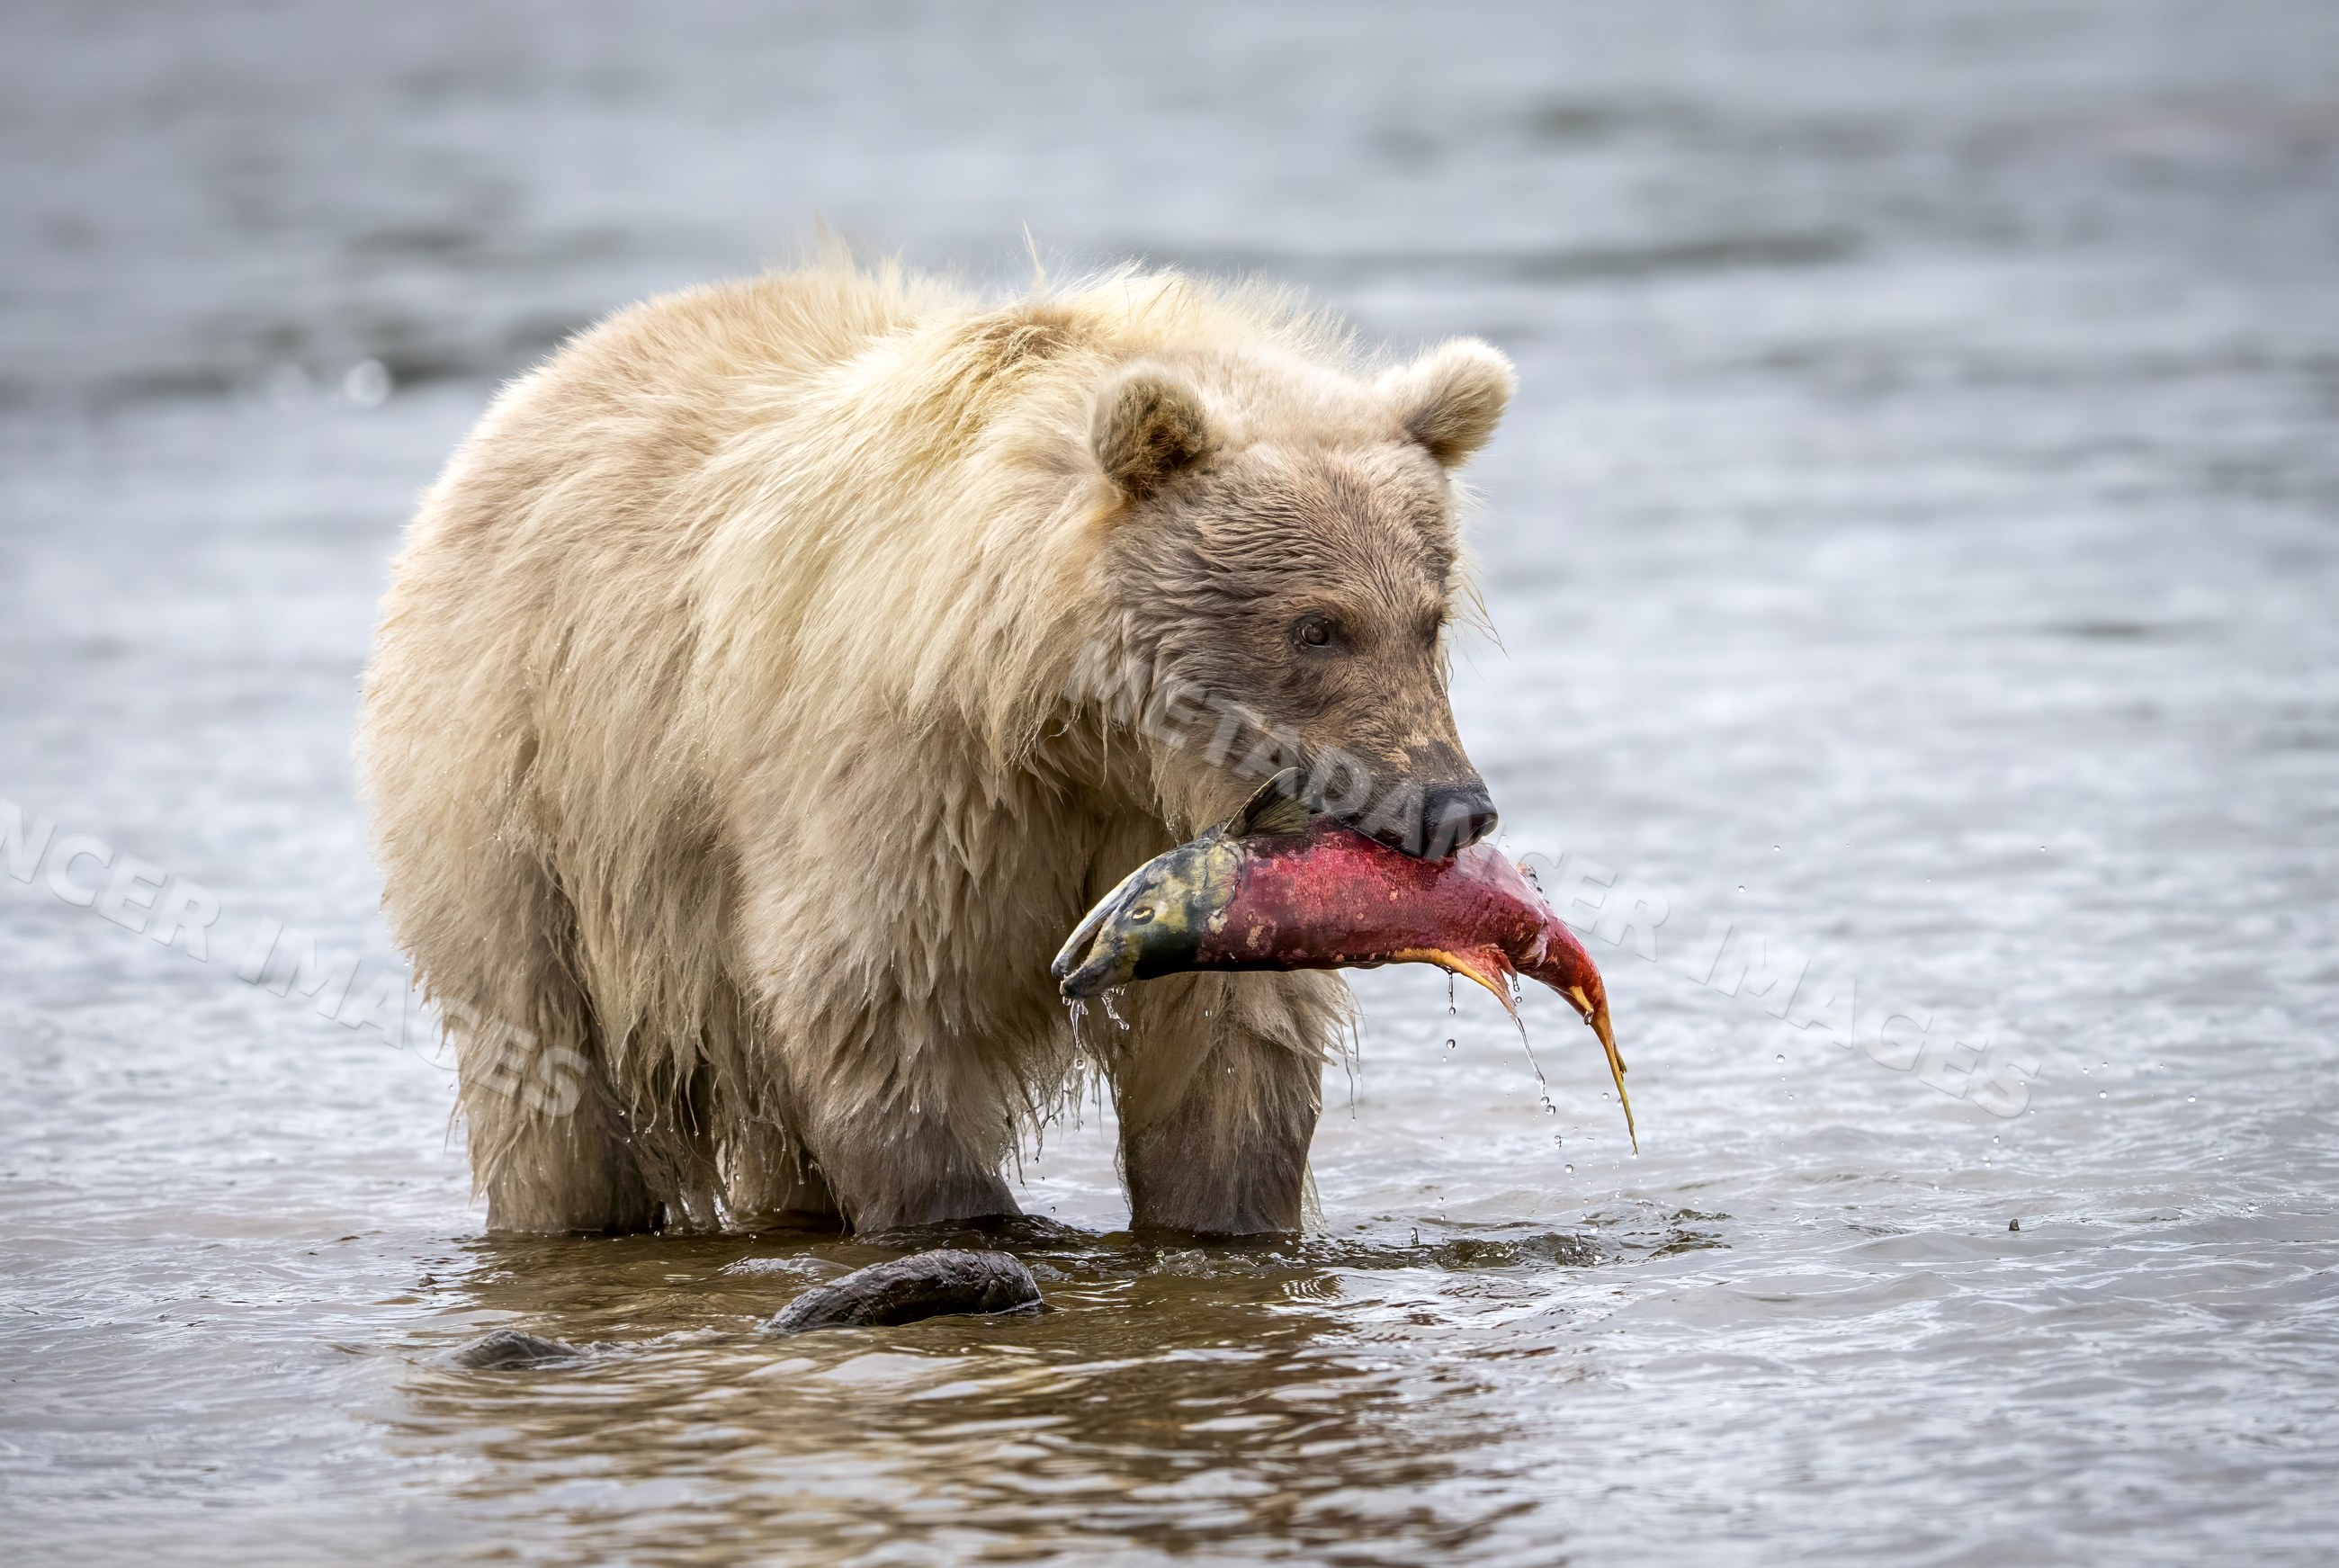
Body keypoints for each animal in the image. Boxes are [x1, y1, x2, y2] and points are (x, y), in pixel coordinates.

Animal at [357, 256, 1514, 1237]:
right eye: (1316, 627)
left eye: (1426, 618)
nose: (1451, 804)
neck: (1074, 727)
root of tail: (548, 375)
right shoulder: (911, 784)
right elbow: (879, 1000)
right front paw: (960, 1217)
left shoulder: (1175, 850)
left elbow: (1226, 1042)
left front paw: (1223, 1212)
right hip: (525, 793)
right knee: (547, 1069)